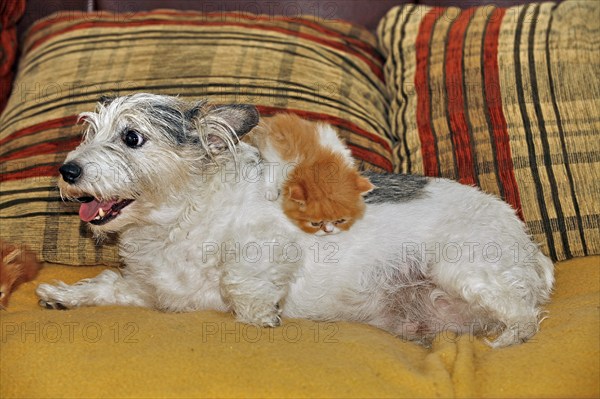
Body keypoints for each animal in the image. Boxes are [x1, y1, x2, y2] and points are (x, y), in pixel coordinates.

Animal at [36, 93, 552, 346]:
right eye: (88, 133)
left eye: (132, 137)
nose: (68, 170)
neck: (174, 221)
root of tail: (531, 247)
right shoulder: (151, 290)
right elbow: (105, 284)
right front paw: (62, 295)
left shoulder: (270, 243)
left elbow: (241, 280)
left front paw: (262, 317)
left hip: (463, 267)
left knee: (526, 316)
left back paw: (507, 340)